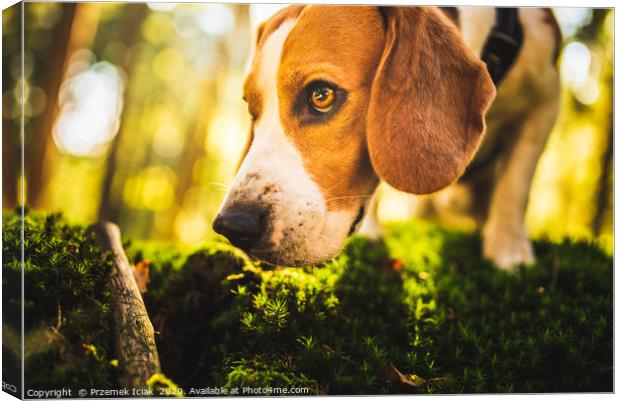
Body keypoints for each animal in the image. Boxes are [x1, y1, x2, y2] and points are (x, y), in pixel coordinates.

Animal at [212, 5, 560, 268]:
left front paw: (508, 253)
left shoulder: (546, 101)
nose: (233, 226)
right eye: (252, 110)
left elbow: (515, 185)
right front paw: (371, 231)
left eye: (321, 95)